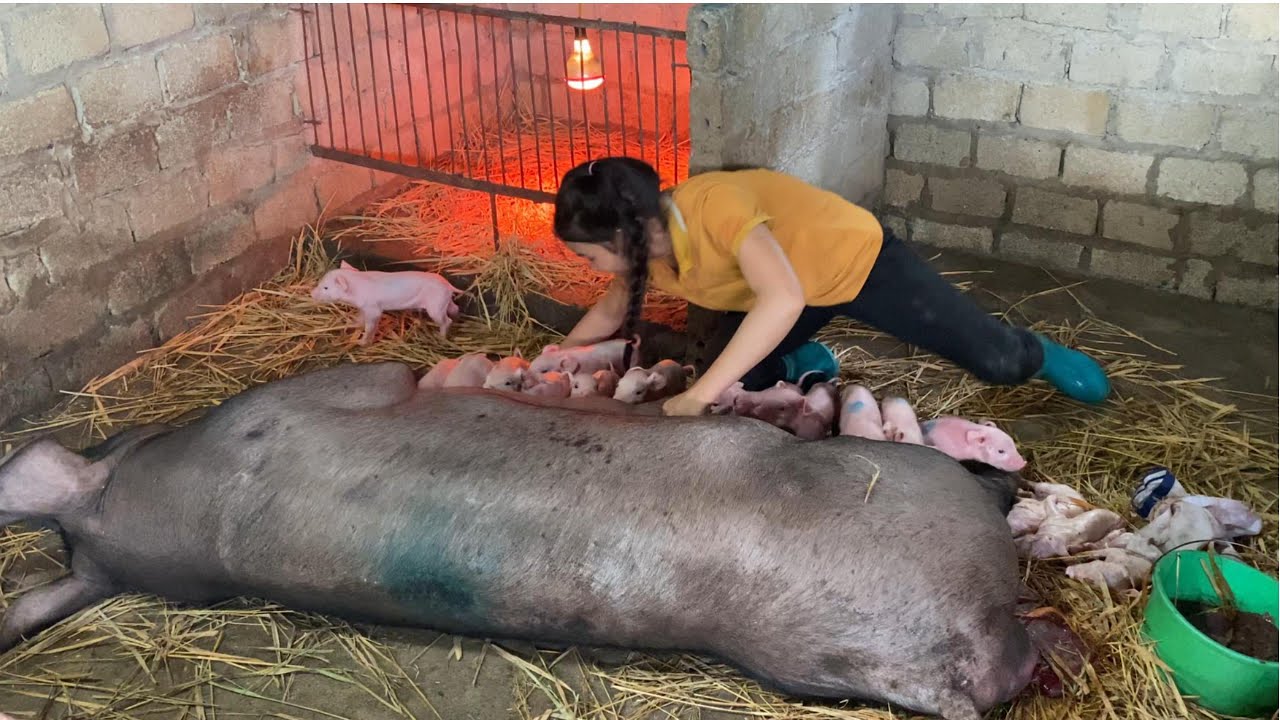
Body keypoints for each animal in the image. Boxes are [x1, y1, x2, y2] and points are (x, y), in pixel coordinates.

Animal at [310, 261, 463, 345]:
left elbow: (370, 326)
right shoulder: (363, 308)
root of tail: (448, 285)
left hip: (435, 306)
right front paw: (353, 323)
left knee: (446, 321)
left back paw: (440, 338)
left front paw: (363, 343)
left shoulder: (373, 309)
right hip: (444, 301)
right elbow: (360, 319)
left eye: (326, 287)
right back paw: (456, 319)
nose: (311, 293)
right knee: (455, 308)